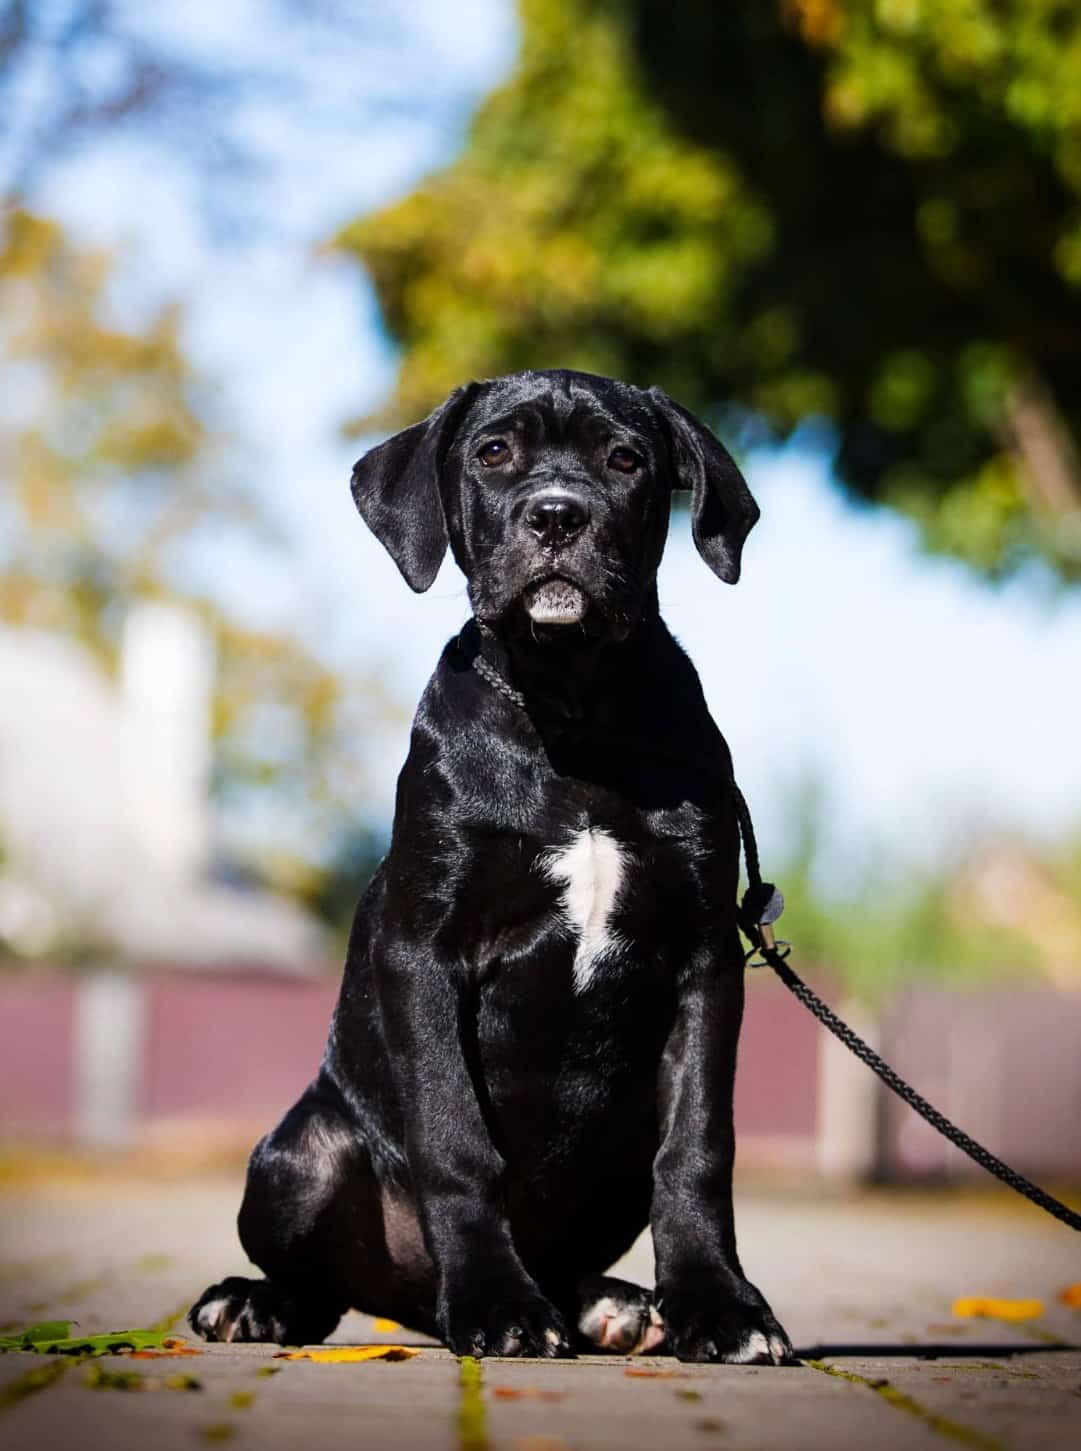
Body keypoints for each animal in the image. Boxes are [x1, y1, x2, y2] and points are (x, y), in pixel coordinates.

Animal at [190, 368, 789, 1363]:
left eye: (625, 460)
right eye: (494, 452)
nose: (555, 515)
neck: (572, 709)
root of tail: (411, 1305)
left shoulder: (704, 961)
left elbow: (699, 1147)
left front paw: (722, 1305)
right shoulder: (425, 950)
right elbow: (455, 1141)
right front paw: (497, 1305)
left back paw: (609, 1305)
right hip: (297, 1156)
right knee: (322, 1282)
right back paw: (257, 1301)